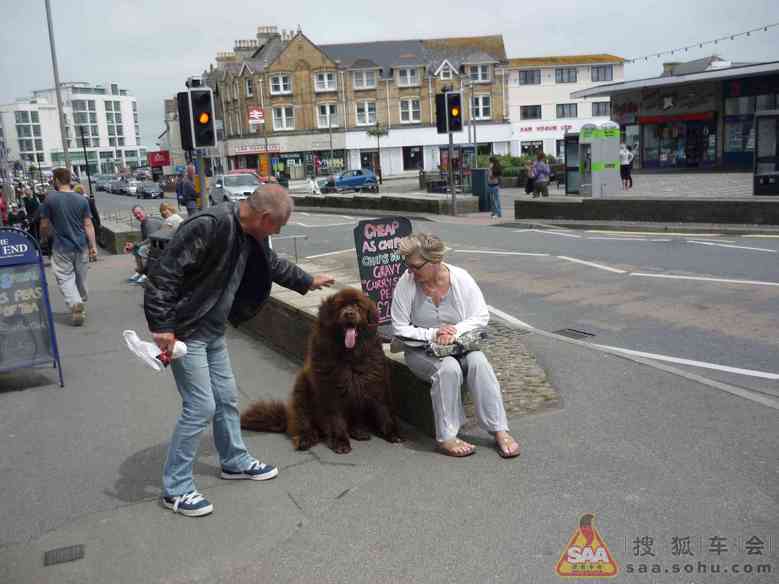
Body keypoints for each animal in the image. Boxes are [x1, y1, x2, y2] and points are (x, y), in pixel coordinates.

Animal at [241, 286, 402, 452]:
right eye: (341, 306)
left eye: (358, 306)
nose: (349, 313)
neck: (349, 356)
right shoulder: (330, 390)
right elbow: (336, 419)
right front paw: (341, 442)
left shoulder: (374, 383)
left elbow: (383, 410)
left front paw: (392, 434)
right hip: (302, 390)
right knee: (302, 422)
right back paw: (306, 439)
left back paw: (359, 432)